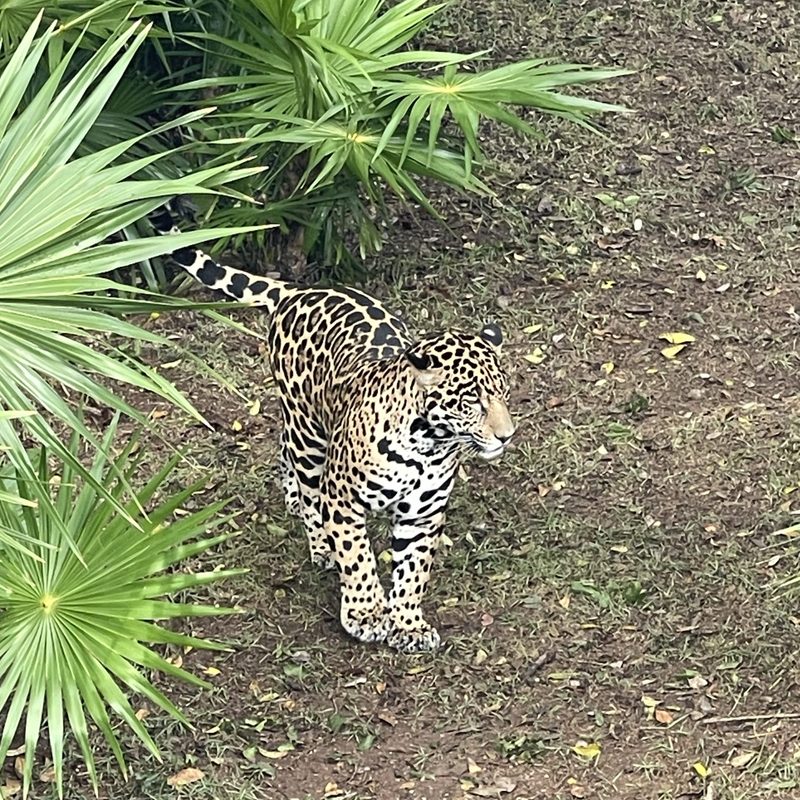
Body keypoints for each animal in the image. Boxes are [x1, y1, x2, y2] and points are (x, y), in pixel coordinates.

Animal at [149, 206, 515, 652]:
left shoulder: (423, 515)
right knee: (308, 483)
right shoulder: (344, 499)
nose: (506, 435)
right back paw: (318, 538)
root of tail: (297, 291)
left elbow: (413, 570)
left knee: (283, 445)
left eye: (503, 392)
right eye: (472, 399)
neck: (428, 446)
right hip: (308, 433)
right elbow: (357, 558)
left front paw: (408, 624)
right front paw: (366, 614)